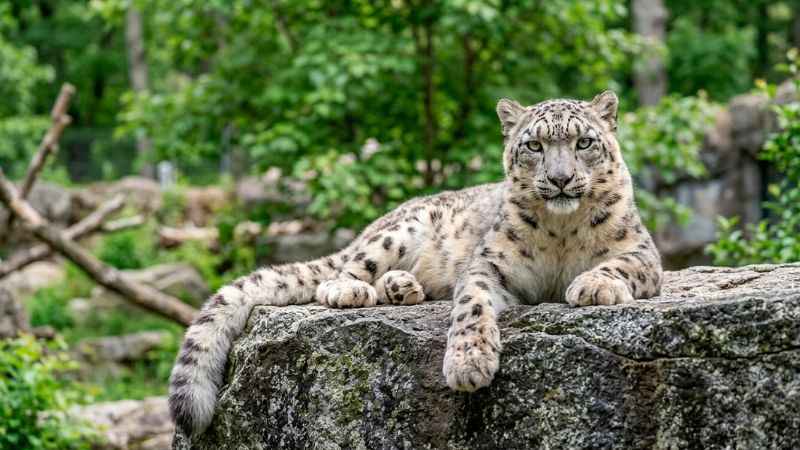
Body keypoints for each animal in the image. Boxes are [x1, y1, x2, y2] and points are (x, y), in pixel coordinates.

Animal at [168, 90, 663, 436]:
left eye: (584, 142)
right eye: (535, 146)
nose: (560, 180)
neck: (562, 232)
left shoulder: (643, 254)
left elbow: (618, 264)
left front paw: (593, 286)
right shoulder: (489, 266)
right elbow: (472, 307)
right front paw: (468, 364)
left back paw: (402, 287)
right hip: (397, 232)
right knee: (338, 273)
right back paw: (357, 289)